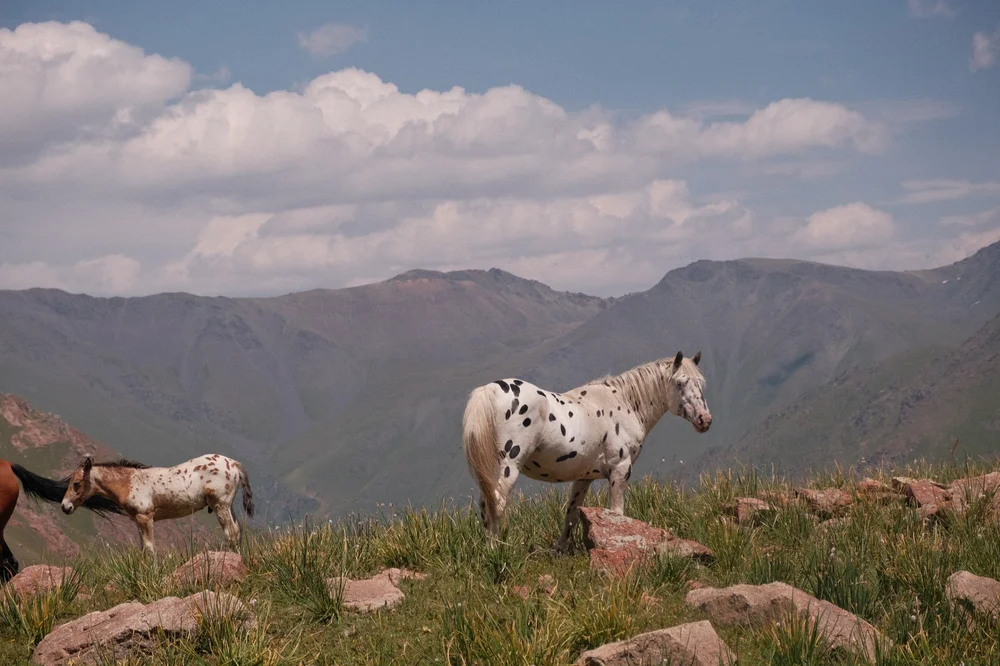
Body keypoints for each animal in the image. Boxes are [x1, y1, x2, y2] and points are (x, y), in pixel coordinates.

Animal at [60, 454, 254, 555]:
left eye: (76, 483)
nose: (65, 506)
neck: (129, 482)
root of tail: (234, 464)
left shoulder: (145, 517)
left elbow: (150, 547)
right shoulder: (138, 520)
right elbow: (144, 548)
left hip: (220, 504)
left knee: (231, 532)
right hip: (227, 505)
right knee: (237, 530)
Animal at [462, 351, 712, 550]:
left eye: (701, 383)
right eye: (680, 383)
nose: (705, 420)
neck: (626, 403)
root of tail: (491, 390)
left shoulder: (583, 478)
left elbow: (571, 515)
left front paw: (560, 550)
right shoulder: (620, 471)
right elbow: (617, 514)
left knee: (485, 505)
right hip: (509, 465)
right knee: (496, 504)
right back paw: (496, 551)